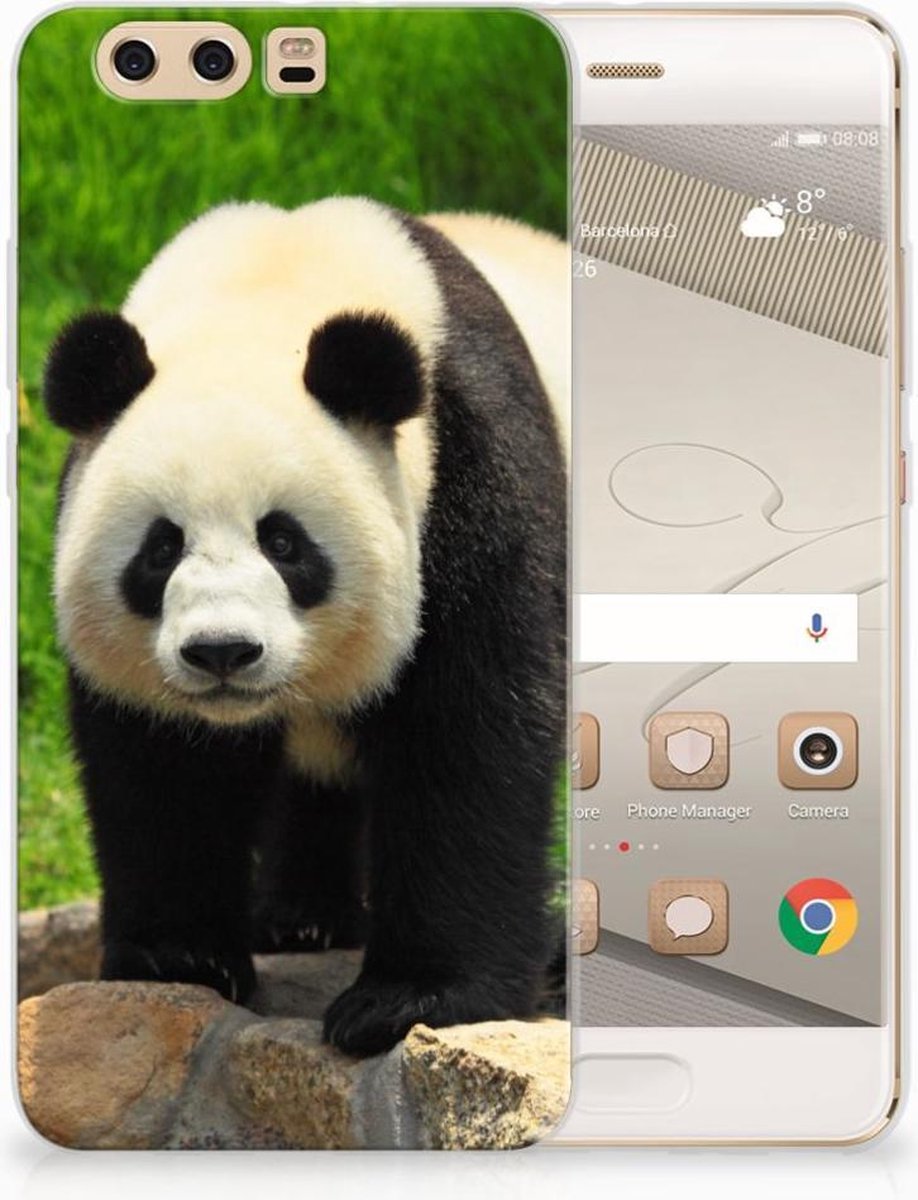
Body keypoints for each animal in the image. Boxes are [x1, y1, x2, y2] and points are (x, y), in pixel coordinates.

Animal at [44, 197, 568, 1056]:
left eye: (284, 542)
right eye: (161, 548)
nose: (222, 652)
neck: (271, 286)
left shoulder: (473, 476)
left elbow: (470, 733)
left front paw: (410, 1000)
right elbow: (163, 763)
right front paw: (178, 956)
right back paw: (300, 918)